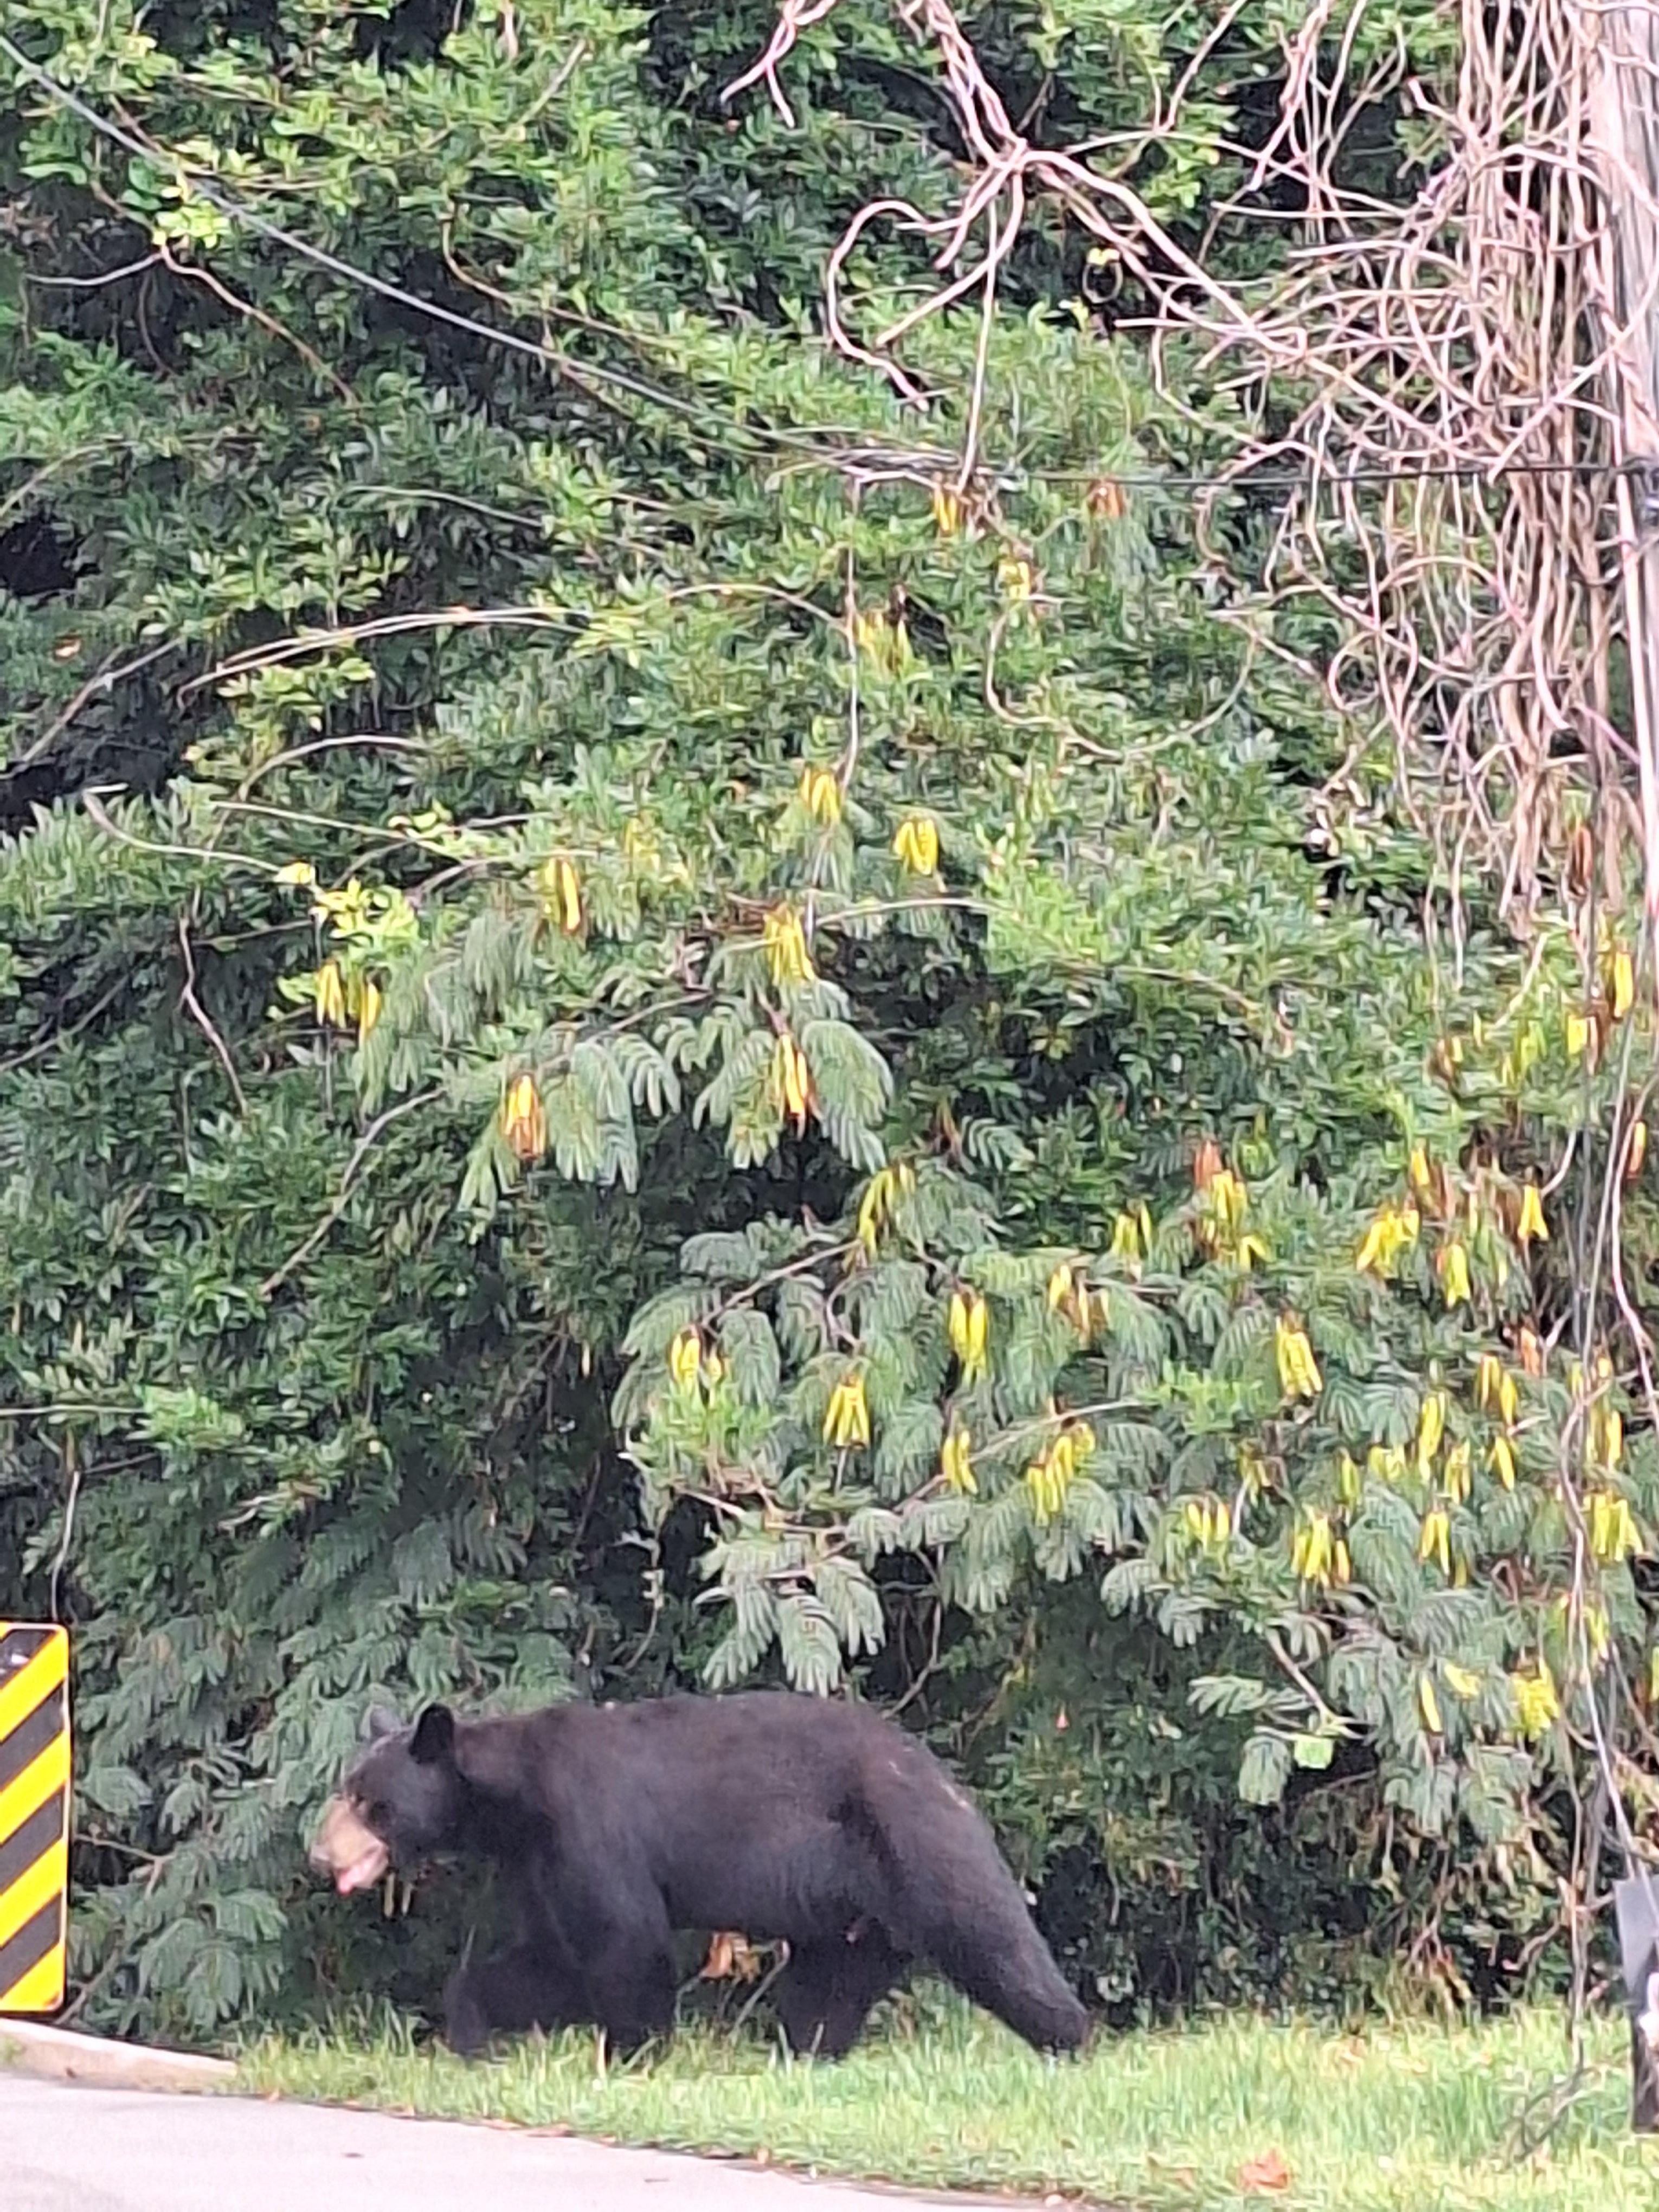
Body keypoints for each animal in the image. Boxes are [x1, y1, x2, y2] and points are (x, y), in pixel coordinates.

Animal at [309, 1689, 1089, 2061]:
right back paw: (806, 2058)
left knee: (991, 1939)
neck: (515, 1797)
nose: (322, 1855)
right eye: (348, 1787)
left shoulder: (589, 1824)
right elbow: (551, 1960)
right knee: (825, 1995)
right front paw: (470, 2033)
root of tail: (945, 1777)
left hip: (917, 1842)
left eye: (369, 1802)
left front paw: (634, 2055)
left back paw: (1072, 2041)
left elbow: (626, 1942)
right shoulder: (535, 1861)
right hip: (852, 1922)